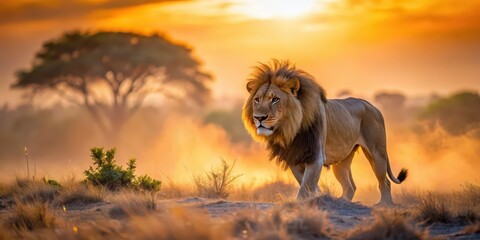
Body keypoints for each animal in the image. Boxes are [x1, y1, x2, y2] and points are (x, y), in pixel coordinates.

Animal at [242, 60, 406, 204]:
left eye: (275, 99)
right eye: (257, 99)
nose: (259, 118)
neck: (290, 129)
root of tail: (373, 106)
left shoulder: (316, 156)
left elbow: (306, 185)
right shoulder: (294, 157)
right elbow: (306, 183)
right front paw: (317, 195)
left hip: (377, 153)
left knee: (385, 182)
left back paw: (384, 204)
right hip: (341, 161)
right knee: (350, 186)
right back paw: (342, 202)